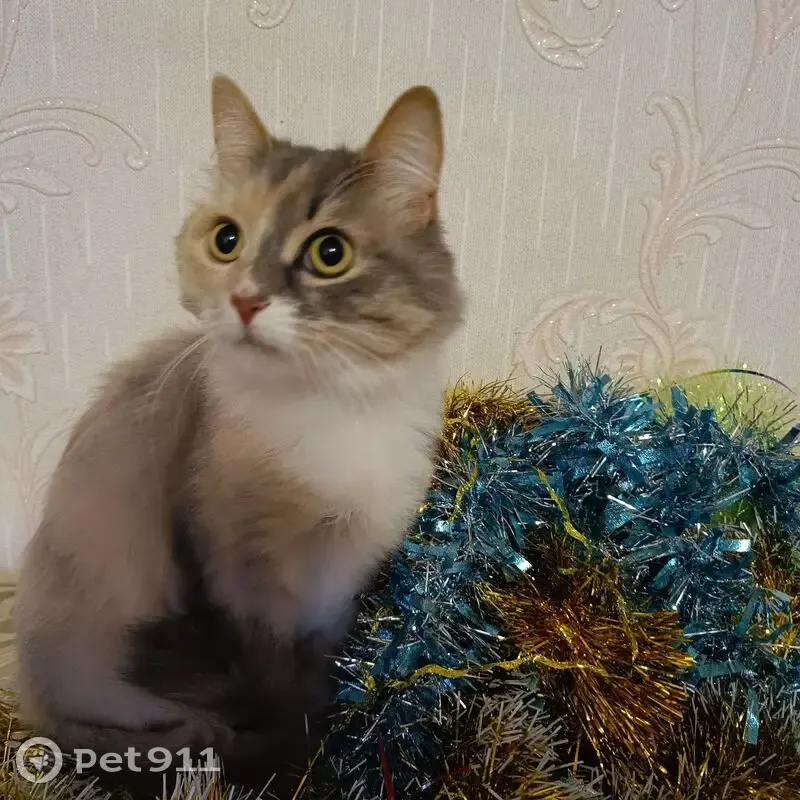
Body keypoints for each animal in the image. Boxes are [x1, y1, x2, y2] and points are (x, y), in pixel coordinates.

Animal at [13, 74, 463, 795]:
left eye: (329, 254)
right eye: (227, 241)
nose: (246, 300)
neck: (329, 412)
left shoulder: (342, 580)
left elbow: (317, 678)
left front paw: (317, 746)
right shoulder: (239, 577)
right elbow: (270, 691)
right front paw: (290, 761)